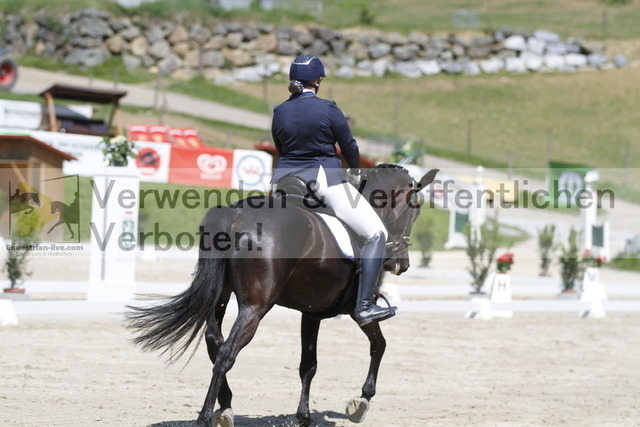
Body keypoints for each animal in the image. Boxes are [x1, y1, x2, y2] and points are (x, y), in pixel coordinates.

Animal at [127, 164, 439, 427]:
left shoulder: (311, 312)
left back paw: (226, 407)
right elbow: (379, 345)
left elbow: (308, 365)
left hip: (220, 297)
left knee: (214, 342)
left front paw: (304, 416)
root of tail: (235, 214)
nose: (400, 265)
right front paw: (361, 401)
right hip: (254, 307)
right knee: (227, 352)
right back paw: (205, 417)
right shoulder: (356, 309)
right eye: (416, 211)